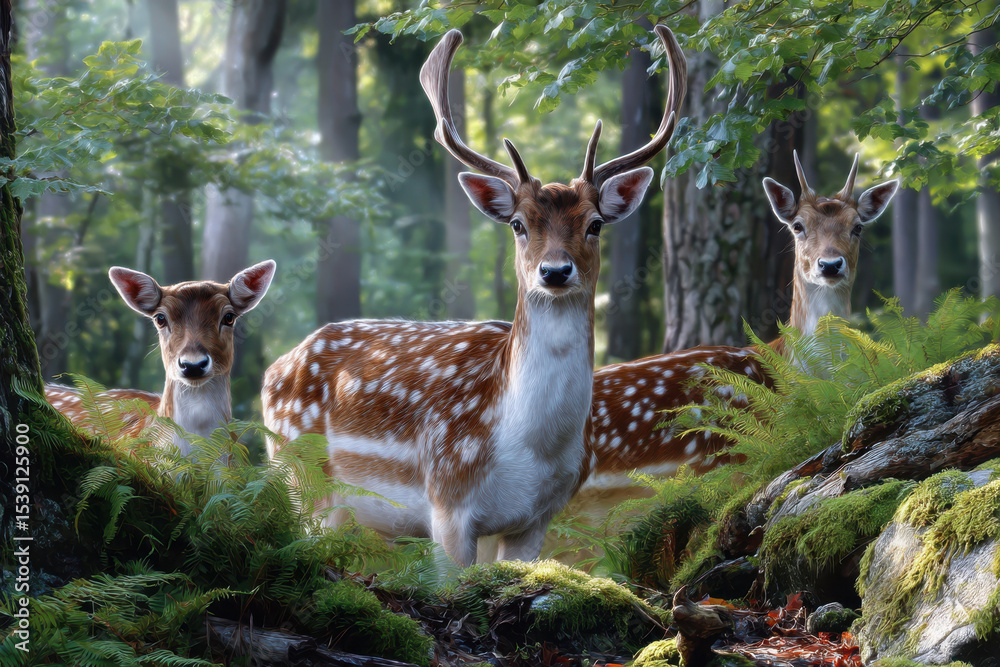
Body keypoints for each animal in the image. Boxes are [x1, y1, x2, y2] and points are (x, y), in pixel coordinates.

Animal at [261, 25, 686, 567]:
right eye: (518, 224)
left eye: (594, 224)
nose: (555, 271)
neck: (528, 446)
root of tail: (275, 368)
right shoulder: (447, 502)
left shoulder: (538, 517)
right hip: (301, 478)